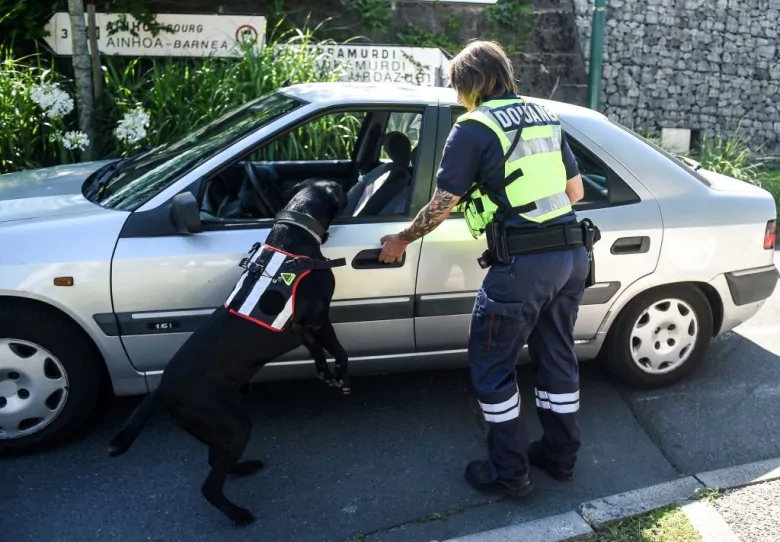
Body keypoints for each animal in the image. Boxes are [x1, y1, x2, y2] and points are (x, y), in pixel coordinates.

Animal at [109, 178, 350, 528]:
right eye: (337, 187)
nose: (350, 181)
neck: (294, 234)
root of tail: (164, 387)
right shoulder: (319, 318)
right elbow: (338, 349)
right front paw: (342, 376)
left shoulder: (302, 328)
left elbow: (317, 349)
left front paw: (324, 372)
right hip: (234, 424)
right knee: (210, 485)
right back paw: (238, 513)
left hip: (219, 425)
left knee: (215, 460)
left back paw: (241, 468)